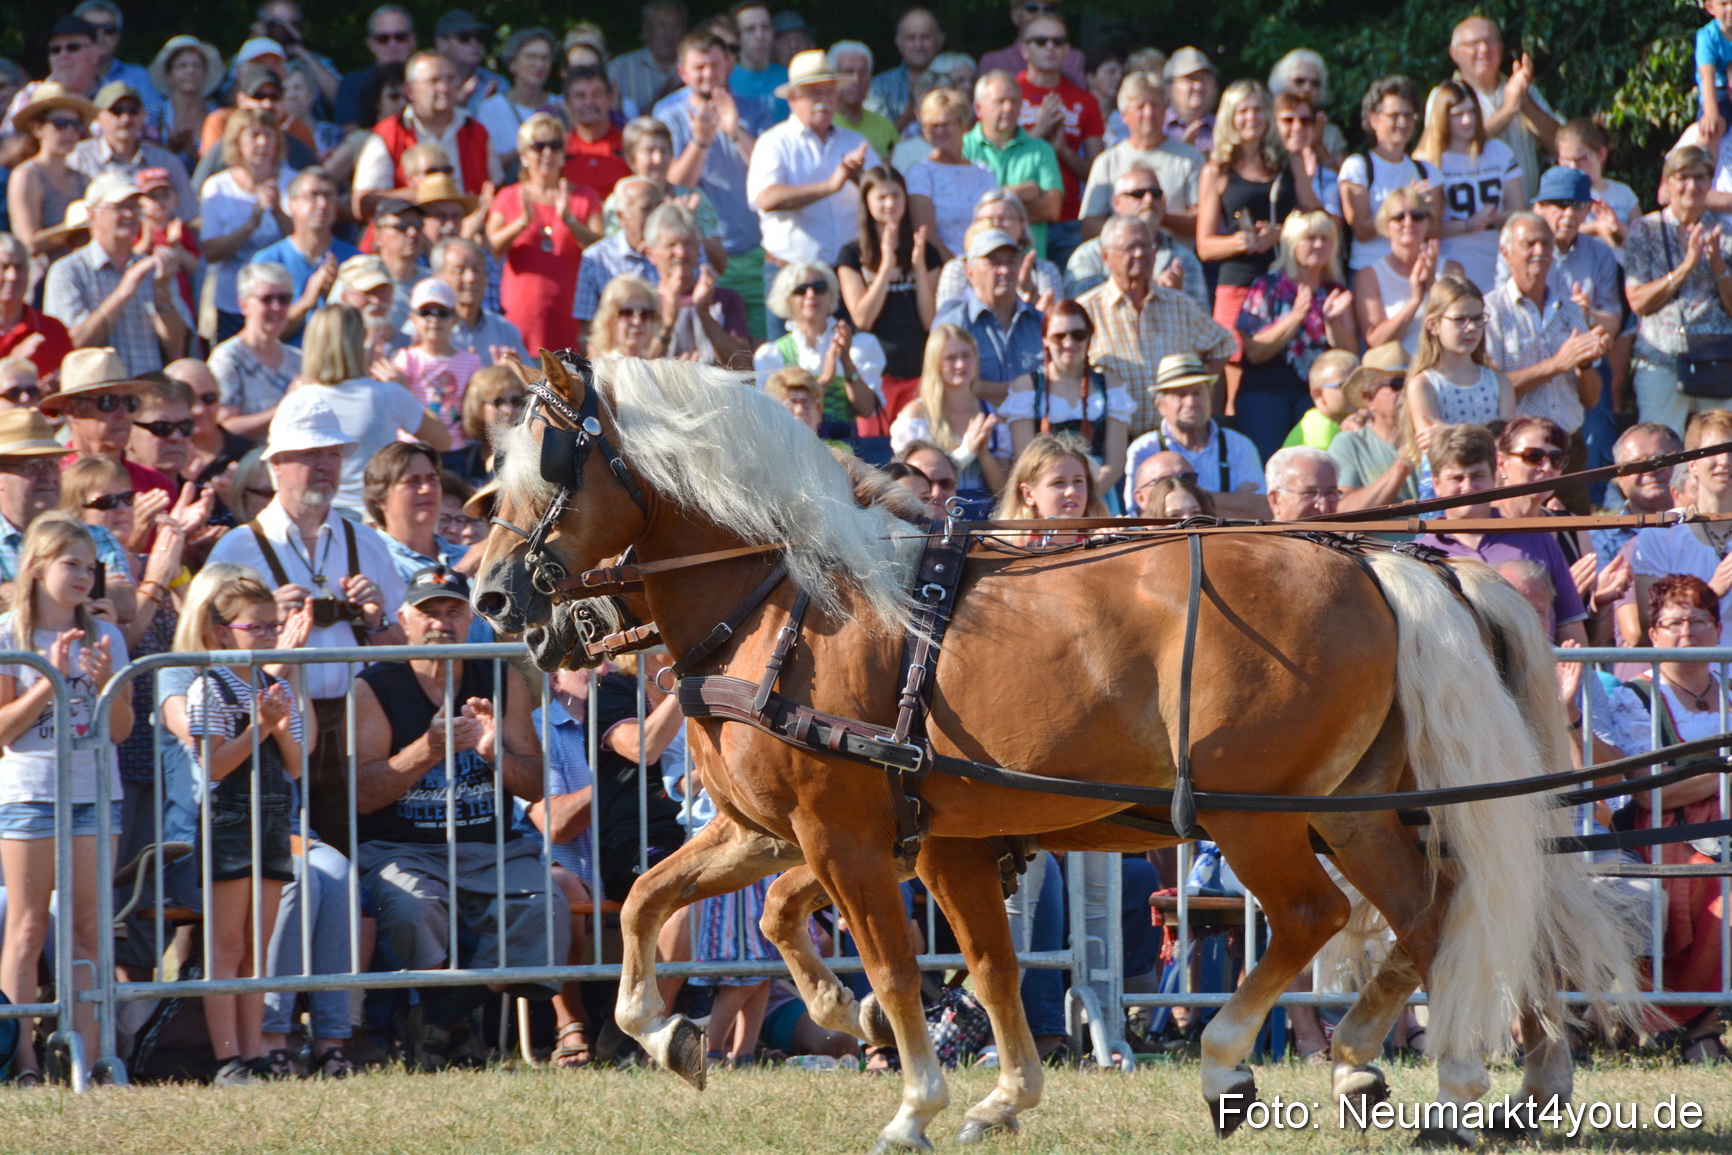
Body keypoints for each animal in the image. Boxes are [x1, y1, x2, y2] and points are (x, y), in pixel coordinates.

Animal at [472, 352, 1639, 1151]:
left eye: (552, 469)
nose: (488, 594)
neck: (791, 597)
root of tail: (1380, 564)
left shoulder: (842, 835)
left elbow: (896, 965)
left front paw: (913, 1100)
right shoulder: (808, 831)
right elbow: (665, 903)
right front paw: (680, 1032)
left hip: (1251, 812)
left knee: (1322, 916)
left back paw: (1239, 1061)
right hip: (1349, 807)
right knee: (1430, 912)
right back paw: (1406, 1068)